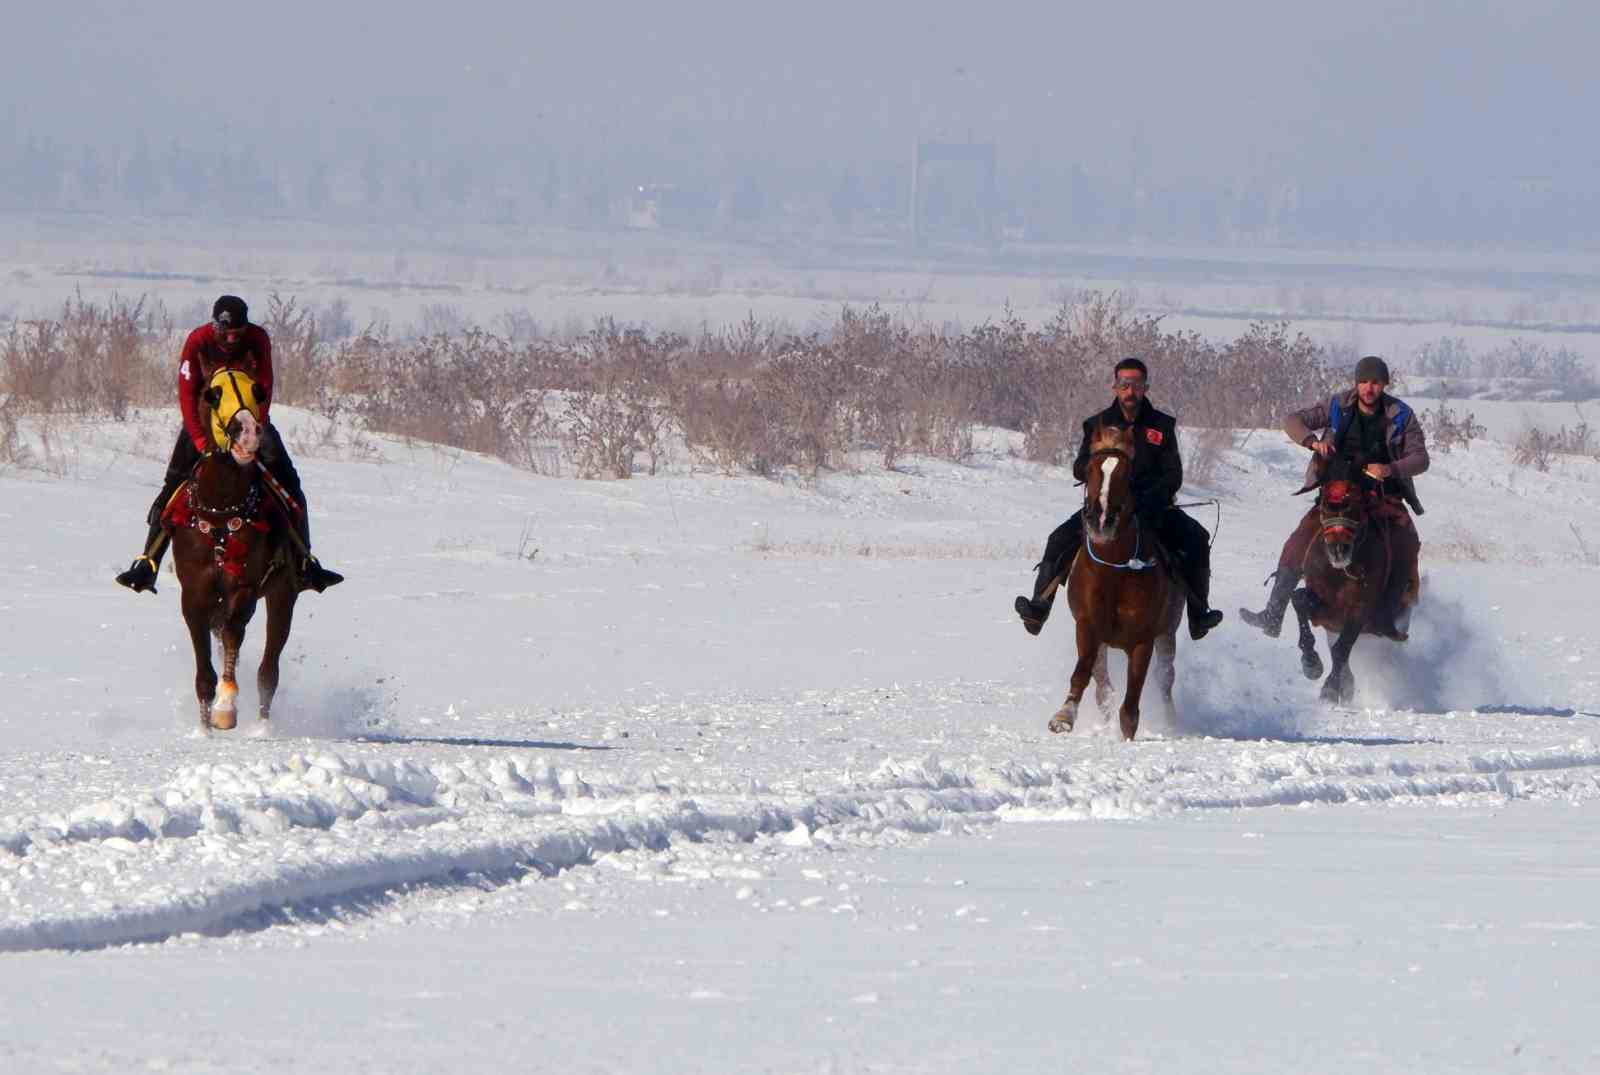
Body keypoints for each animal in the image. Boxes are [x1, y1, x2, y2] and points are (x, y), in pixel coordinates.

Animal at [164, 369, 299, 729]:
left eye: (258, 390)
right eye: (214, 394)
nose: (249, 433)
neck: (221, 511)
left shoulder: (245, 586)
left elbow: (232, 633)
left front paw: (225, 708)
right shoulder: (195, 591)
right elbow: (203, 655)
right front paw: (204, 726)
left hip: (283, 594)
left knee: (268, 670)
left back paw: (263, 727)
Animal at [1049, 419, 1190, 739]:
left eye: (1128, 473)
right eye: (1090, 467)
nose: (1101, 520)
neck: (1113, 570)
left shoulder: (1143, 640)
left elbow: (1132, 703)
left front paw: (1126, 736)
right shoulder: (1088, 627)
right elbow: (1083, 673)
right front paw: (1063, 717)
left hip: (1168, 633)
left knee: (1166, 678)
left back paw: (1170, 722)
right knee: (1102, 685)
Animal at [1286, 454, 1414, 700]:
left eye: (1356, 505)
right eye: (1324, 505)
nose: (1338, 550)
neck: (1339, 574)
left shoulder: (1359, 611)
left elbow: (1341, 649)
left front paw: (1330, 689)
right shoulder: (1323, 606)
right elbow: (1298, 600)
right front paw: (1311, 664)